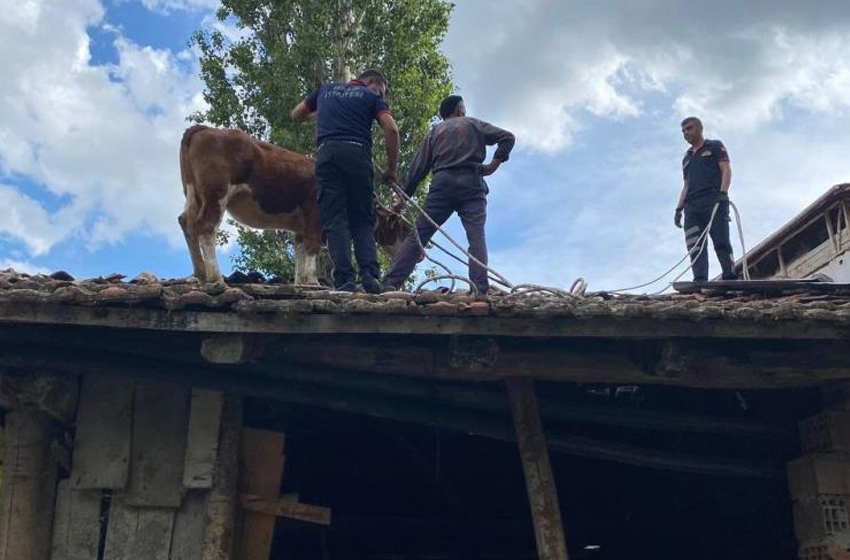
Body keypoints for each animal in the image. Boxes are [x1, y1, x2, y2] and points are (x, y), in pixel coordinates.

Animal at [176, 126, 408, 284]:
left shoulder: (300, 225)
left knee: (186, 223)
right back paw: (216, 278)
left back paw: (200, 274)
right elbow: (312, 245)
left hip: (193, 194)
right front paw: (313, 282)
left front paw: (301, 282)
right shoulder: (315, 213)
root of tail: (204, 128)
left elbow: (300, 251)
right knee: (206, 226)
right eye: (403, 228)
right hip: (216, 193)